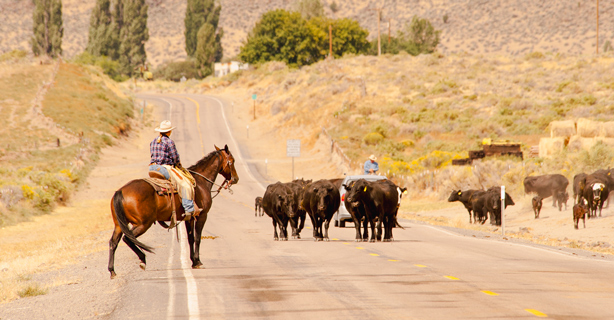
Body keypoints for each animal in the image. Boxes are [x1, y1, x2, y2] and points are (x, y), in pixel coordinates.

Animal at [108, 145, 238, 278]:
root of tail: (120, 191)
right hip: (143, 224)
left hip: (119, 225)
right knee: (128, 238)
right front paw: (198, 262)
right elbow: (197, 238)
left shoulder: (189, 218)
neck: (200, 182)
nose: (235, 179)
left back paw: (112, 271)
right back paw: (142, 259)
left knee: (113, 242)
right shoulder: (202, 216)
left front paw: (193, 261)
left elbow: (191, 238)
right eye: (232, 161)